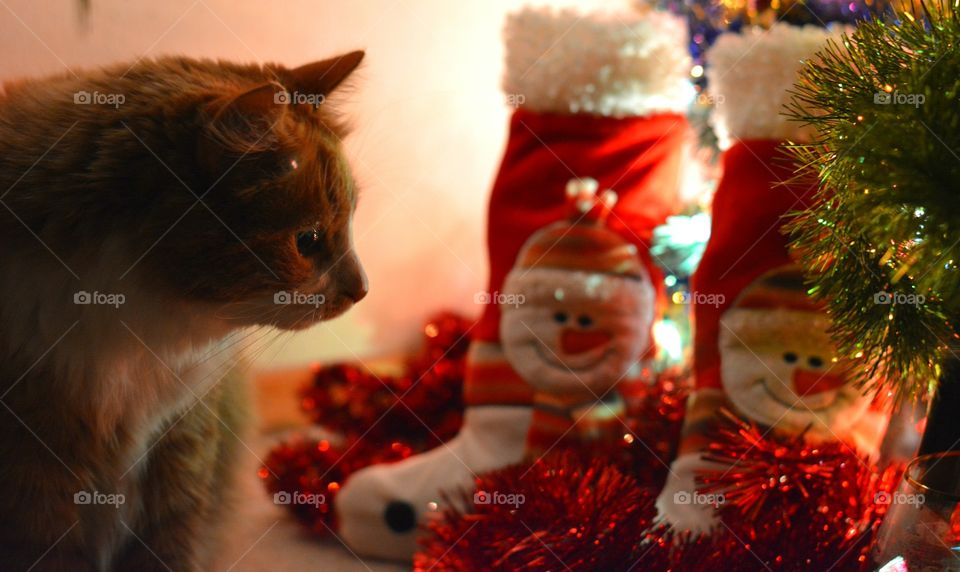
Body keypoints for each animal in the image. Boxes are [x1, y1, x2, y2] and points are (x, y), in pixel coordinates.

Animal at [0, 51, 368, 568]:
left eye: (352, 220)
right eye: (308, 240)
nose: (363, 290)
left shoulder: (179, 440)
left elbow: (171, 544)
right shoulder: (34, 460)